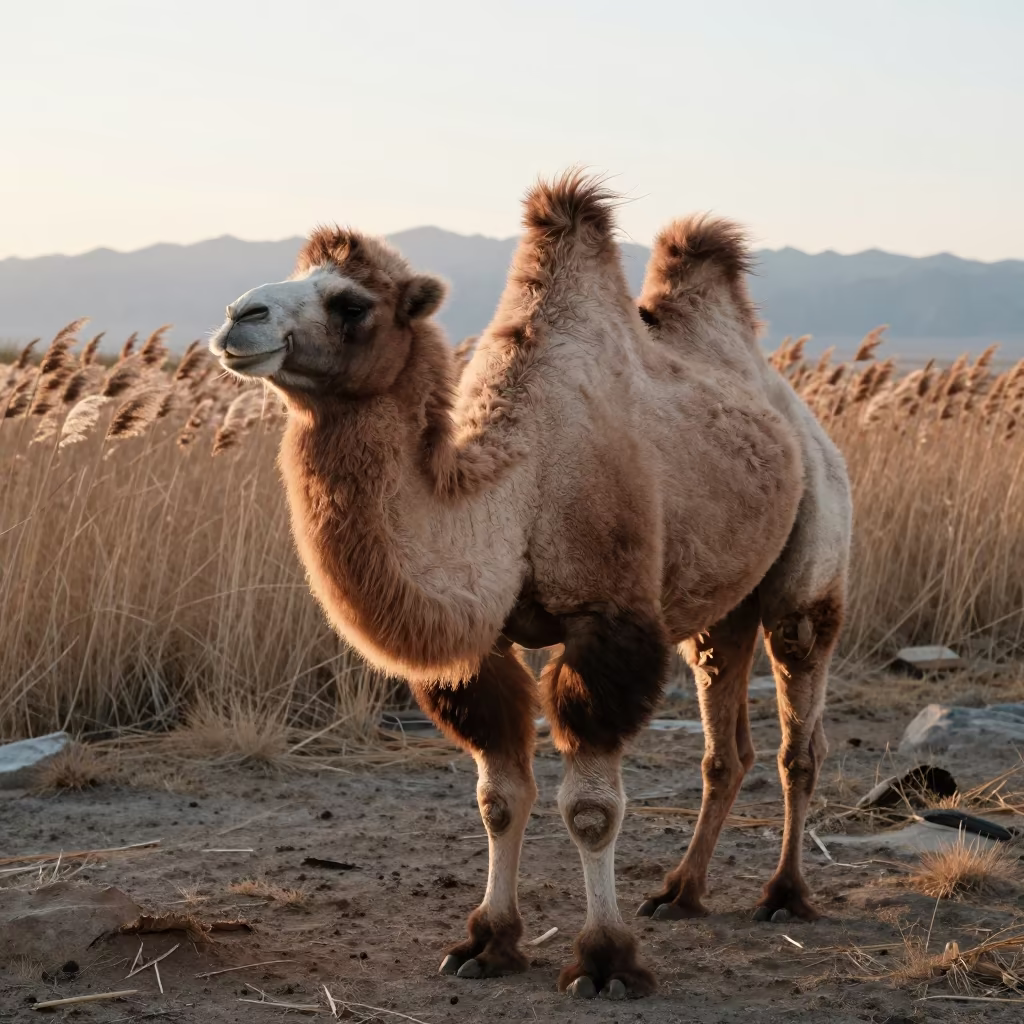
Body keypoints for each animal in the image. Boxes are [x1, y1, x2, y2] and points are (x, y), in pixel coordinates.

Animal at [209, 171, 852, 999]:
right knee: (725, 744)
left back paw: (785, 894)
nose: (239, 316)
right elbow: (498, 798)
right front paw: (487, 940)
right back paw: (681, 891)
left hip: (812, 562)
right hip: (724, 604)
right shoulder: (481, 645)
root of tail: (792, 407)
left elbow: (591, 809)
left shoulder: (606, 621)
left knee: (798, 733)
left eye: (351, 303)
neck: (516, 486)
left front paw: (606, 959)